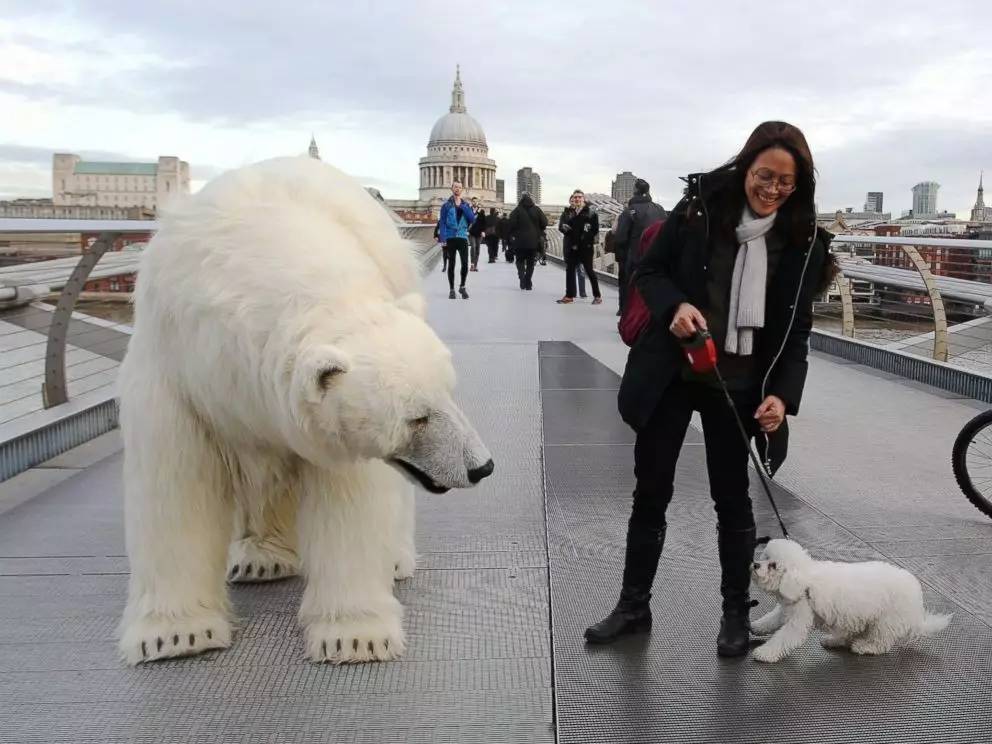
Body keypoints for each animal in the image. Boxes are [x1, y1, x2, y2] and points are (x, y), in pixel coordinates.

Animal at [118, 155, 494, 664]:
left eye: (447, 393)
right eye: (417, 417)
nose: (481, 467)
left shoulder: (334, 427)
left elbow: (348, 499)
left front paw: (356, 636)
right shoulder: (177, 374)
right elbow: (176, 484)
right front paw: (175, 636)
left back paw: (391, 558)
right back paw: (260, 558)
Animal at [748, 540, 948, 664]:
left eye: (773, 565)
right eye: (764, 557)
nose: (755, 565)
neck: (804, 580)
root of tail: (916, 604)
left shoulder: (798, 620)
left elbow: (782, 638)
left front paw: (764, 653)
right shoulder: (786, 610)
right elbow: (770, 620)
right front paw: (756, 626)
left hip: (884, 622)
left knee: (881, 642)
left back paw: (865, 646)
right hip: (857, 617)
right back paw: (833, 640)